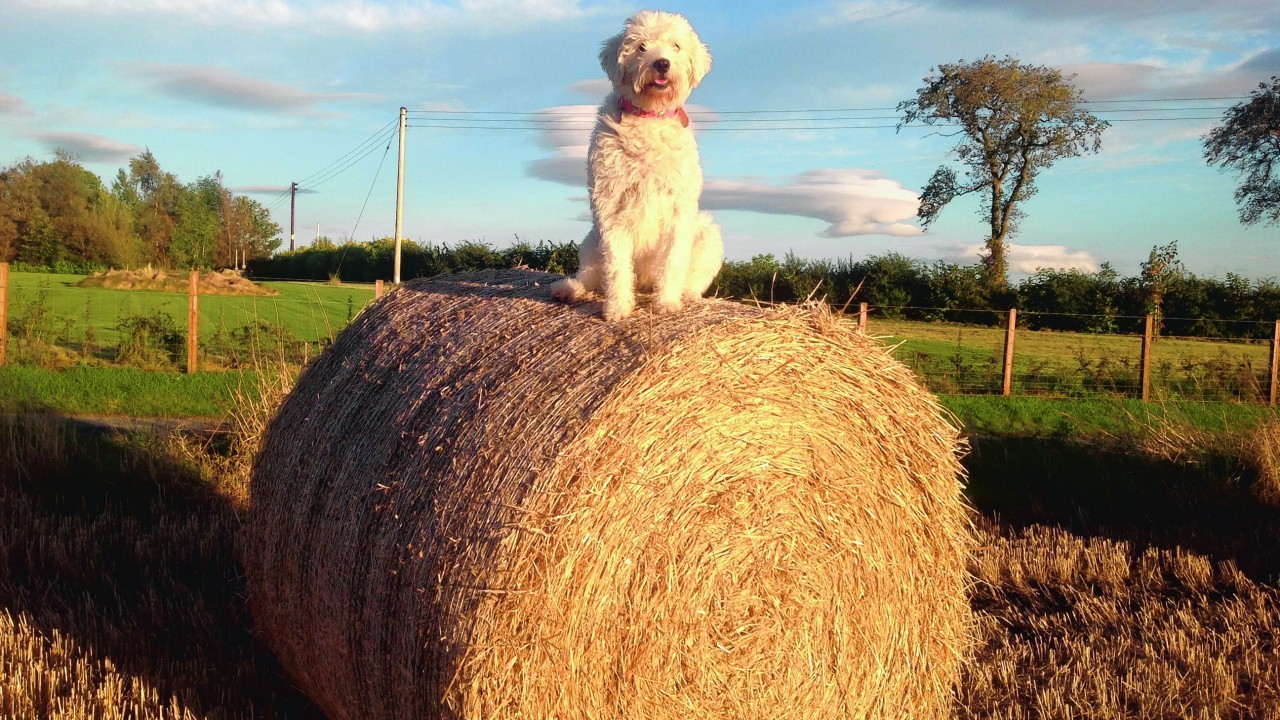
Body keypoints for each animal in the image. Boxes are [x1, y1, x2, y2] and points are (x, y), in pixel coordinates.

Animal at [550, 10, 727, 319]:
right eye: (641, 47)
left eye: (676, 46)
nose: (661, 63)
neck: (649, 117)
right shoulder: (610, 205)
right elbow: (617, 265)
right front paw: (618, 309)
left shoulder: (679, 209)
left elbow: (672, 261)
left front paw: (667, 303)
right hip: (591, 241)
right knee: (590, 277)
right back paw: (569, 289)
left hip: (706, 233)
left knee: (692, 277)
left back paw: (686, 295)